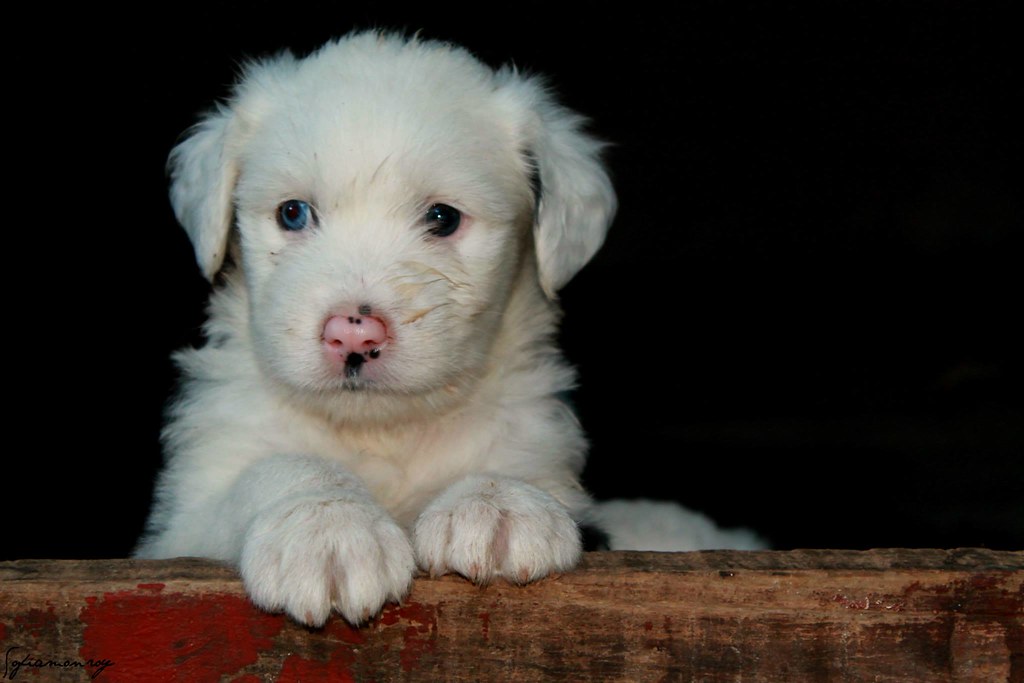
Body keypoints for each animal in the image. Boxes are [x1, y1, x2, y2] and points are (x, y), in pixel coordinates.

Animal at [136, 33, 614, 630]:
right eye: (293, 214)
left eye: (443, 218)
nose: (353, 336)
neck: (380, 431)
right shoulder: (186, 521)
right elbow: (278, 467)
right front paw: (326, 527)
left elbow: (508, 460)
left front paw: (500, 501)